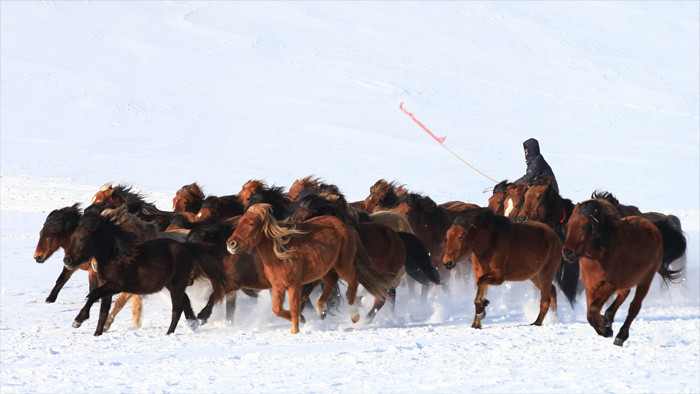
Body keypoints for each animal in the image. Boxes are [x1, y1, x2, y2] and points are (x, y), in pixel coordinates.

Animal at [62, 209, 227, 336]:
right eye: (73, 236)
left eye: (83, 238)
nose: (67, 261)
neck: (118, 256)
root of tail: (188, 246)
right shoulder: (109, 289)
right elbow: (104, 310)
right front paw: (97, 332)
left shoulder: (117, 286)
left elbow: (100, 298)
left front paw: (78, 321)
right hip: (174, 285)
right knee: (186, 302)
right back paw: (194, 323)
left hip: (178, 285)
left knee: (183, 306)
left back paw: (174, 330)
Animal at [228, 203, 396, 332]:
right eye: (240, 221)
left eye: (251, 223)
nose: (231, 244)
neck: (281, 255)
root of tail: (347, 227)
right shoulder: (278, 287)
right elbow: (277, 309)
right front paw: (302, 320)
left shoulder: (294, 285)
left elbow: (294, 308)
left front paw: (295, 330)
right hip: (324, 270)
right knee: (331, 282)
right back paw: (321, 309)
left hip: (343, 265)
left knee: (353, 281)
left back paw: (354, 315)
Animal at [560, 200, 688, 344]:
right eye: (569, 224)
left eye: (583, 226)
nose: (567, 253)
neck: (601, 255)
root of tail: (654, 226)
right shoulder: (591, 286)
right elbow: (589, 313)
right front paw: (604, 326)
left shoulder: (610, 284)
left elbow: (593, 309)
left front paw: (606, 331)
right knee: (624, 293)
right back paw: (608, 317)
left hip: (646, 279)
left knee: (634, 307)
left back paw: (621, 335)